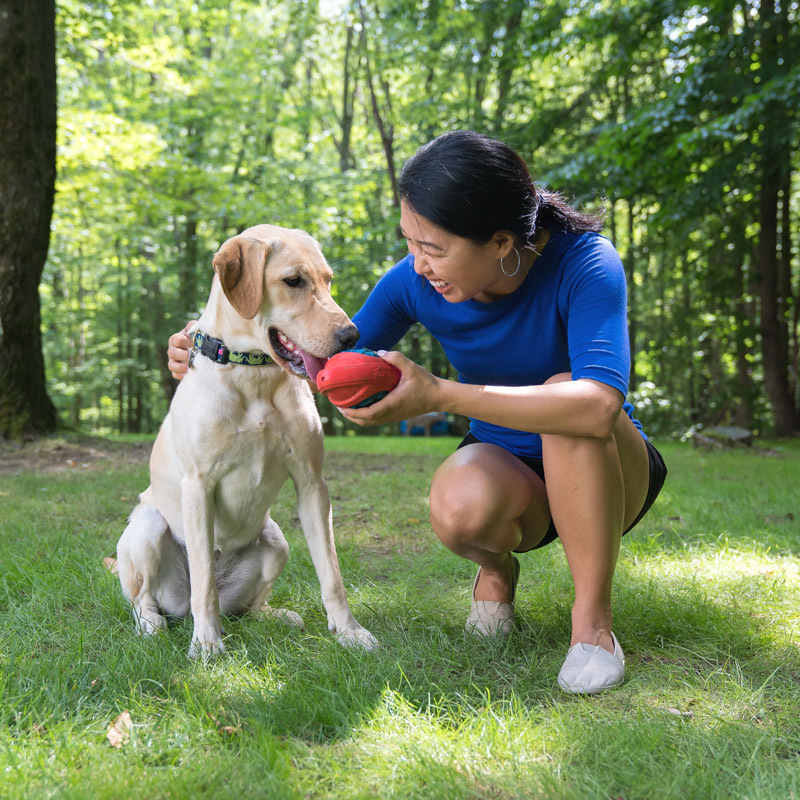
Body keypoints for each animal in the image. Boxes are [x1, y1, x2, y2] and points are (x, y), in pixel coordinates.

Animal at [116, 223, 378, 656]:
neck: (254, 374)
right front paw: (207, 643)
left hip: (276, 540)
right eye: (293, 281)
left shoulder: (312, 482)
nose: (351, 334)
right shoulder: (198, 486)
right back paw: (154, 623)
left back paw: (274, 615)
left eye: (328, 280)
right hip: (148, 529)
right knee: (147, 599)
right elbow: (203, 581)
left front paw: (349, 631)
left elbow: (332, 572)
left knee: (249, 605)